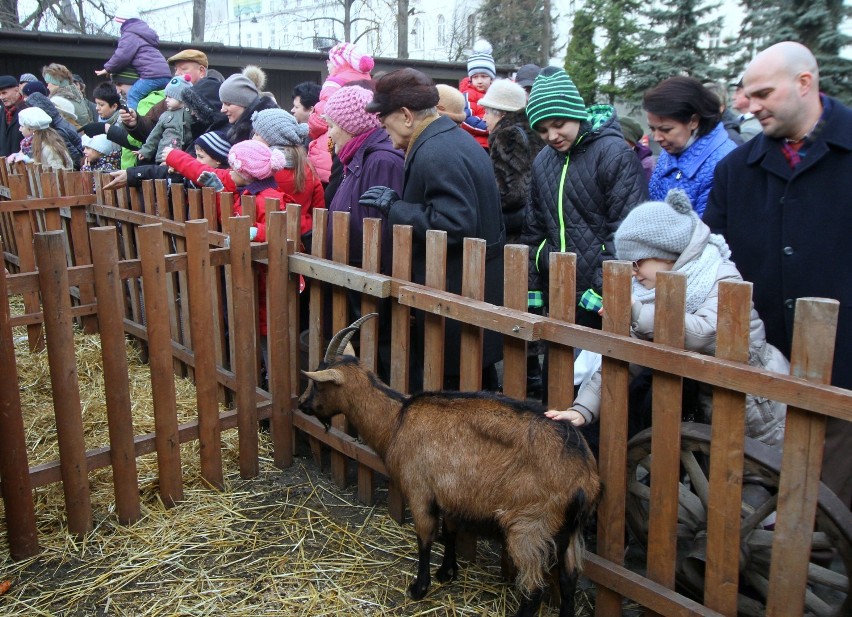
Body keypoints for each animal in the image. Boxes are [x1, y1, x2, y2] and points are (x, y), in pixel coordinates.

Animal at [298, 316, 600, 612]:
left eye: (319, 383)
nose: (302, 404)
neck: (396, 420)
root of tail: (584, 478)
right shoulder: (451, 492)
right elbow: (450, 530)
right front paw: (448, 572)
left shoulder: (419, 490)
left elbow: (425, 537)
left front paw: (419, 587)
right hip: (568, 533)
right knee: (568, 582)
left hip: (530, 526)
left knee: (534, 590)